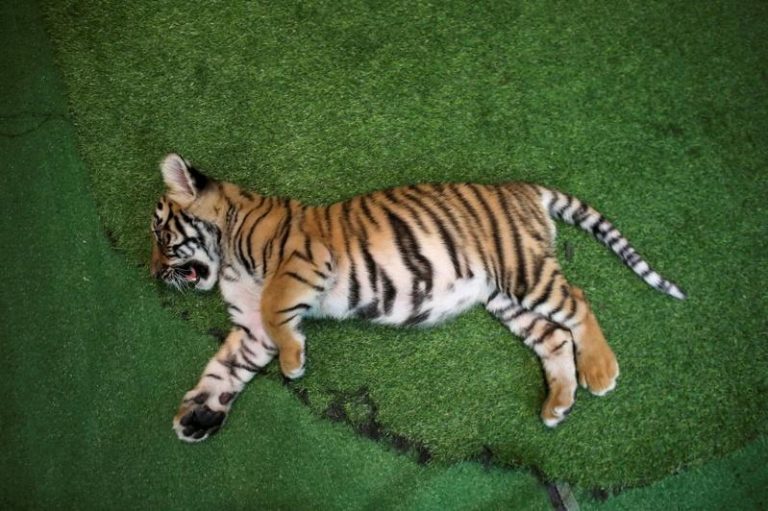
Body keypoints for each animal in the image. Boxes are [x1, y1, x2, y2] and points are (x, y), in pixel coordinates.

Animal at [150, 153, 686, 442]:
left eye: (160, 234)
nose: (154, 273)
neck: (227, 256)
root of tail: (520, 188)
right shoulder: (250, 330)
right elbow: (223, 370)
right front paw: (197, 415)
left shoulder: (303, 263)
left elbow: (274, 306)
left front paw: (294, 362)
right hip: (505, 298)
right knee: (554, 337)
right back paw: (558, 403)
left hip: (524, 273)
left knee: (577, 300)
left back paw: (600, 371)